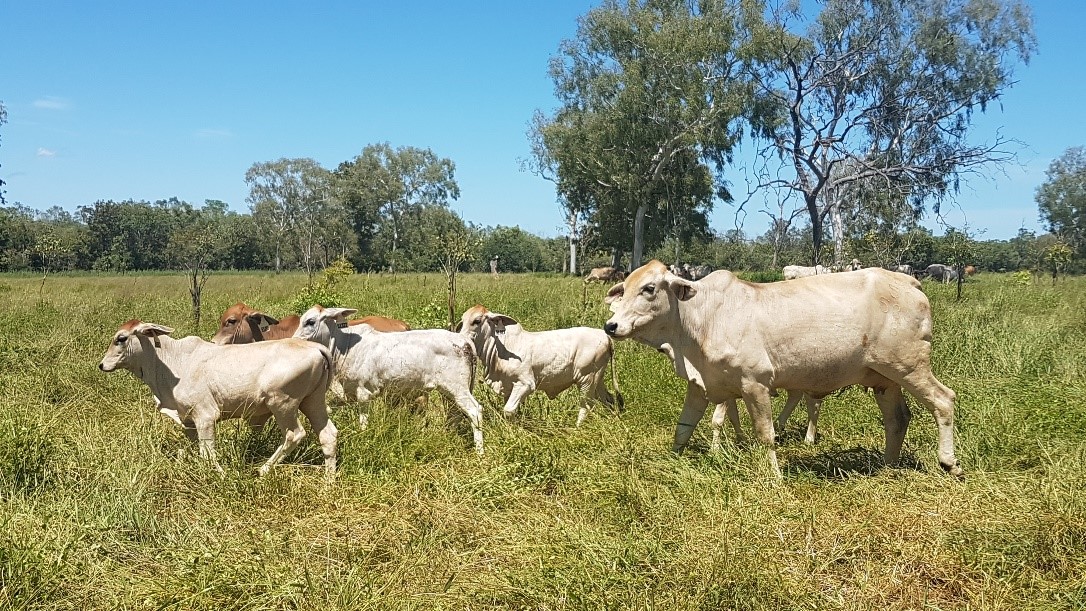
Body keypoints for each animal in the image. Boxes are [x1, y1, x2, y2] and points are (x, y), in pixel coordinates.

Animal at [98, 321, 336, 477]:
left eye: (121, 338)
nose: (102, 365)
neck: (170, 363)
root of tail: (315, 347)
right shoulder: (188, 421)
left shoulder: (205, 417)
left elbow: (207, 453)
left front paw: (220, 474)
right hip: (312, 402)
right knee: (328, 434)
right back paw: (329, 479)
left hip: (282, 405)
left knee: (295, 434)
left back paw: (263, 470)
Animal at [295, 306, 486, 453]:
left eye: (310, 321)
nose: (295, 340)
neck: (344, 346)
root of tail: (464, 340)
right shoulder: (347, 394)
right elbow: (328, 407)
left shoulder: (363, 393)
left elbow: (363, 422)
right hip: (448, 391)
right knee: (455, 414)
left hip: (458, 389)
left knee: (475, 411)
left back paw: (479, 451)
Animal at [458, 303, 625, 425]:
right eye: (463, 320)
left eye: (476, 321)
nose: (461, 337)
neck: (501, 348)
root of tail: (604, 335)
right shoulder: (508, 387)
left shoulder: (526, 384)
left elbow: (509, 410)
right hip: (598, 378)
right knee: (609, 400)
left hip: (587, 379)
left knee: (586, 405)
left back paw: (577, 429)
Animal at [603, 258, 960, 477]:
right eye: (623, 289)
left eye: (649, 288)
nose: (611, 325)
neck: (700, 318)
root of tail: (907, 280)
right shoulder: (701, 384)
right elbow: (683, 429)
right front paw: (672, 462)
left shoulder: (755, 384)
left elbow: (765, 435)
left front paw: (774, 477)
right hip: (884, 378)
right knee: (898, 419)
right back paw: (886, 467)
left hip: (910, 366)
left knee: (943, 401)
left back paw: (948, 462)